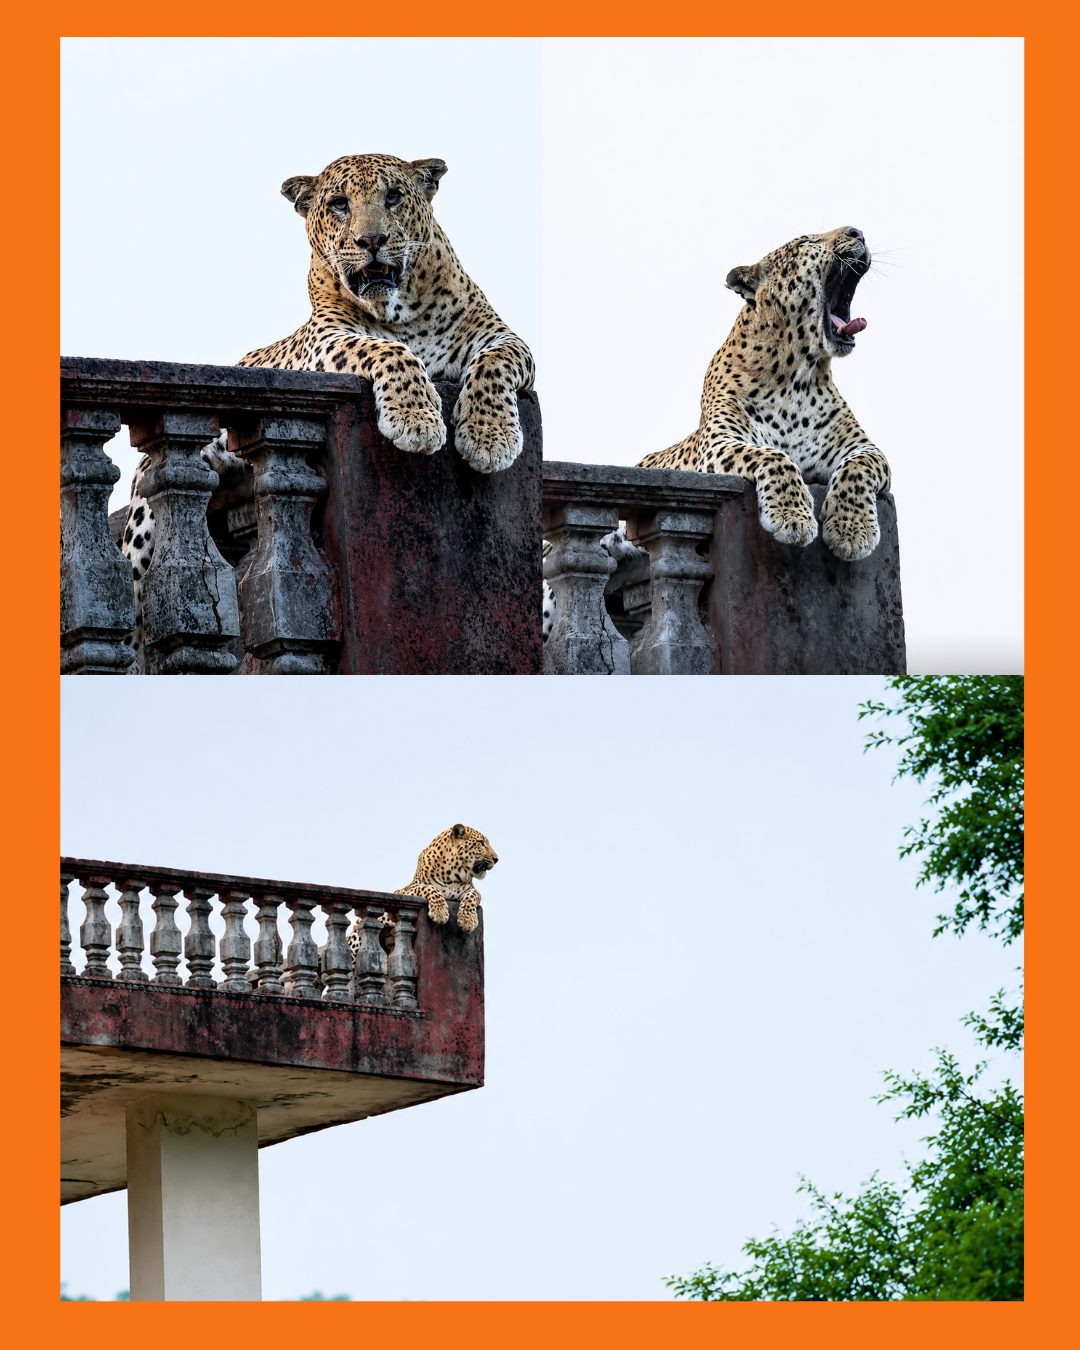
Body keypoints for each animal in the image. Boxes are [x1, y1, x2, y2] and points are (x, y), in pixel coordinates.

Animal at [347, 825, 498, 948]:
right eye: (481, 843)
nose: (497, 859)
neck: (454, 875)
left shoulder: (471, 890)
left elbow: (471, 897)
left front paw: (467, 920)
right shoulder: (407, 890)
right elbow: (429, 888)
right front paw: (440, 912)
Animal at [637, 226, 890, 562]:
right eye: (806, 242)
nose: (857, 231)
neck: (796, 377)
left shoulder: (863, 447)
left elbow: (857, 469)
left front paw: (852, 529)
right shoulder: (719, 444)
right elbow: (774, 455)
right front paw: (792, 516)